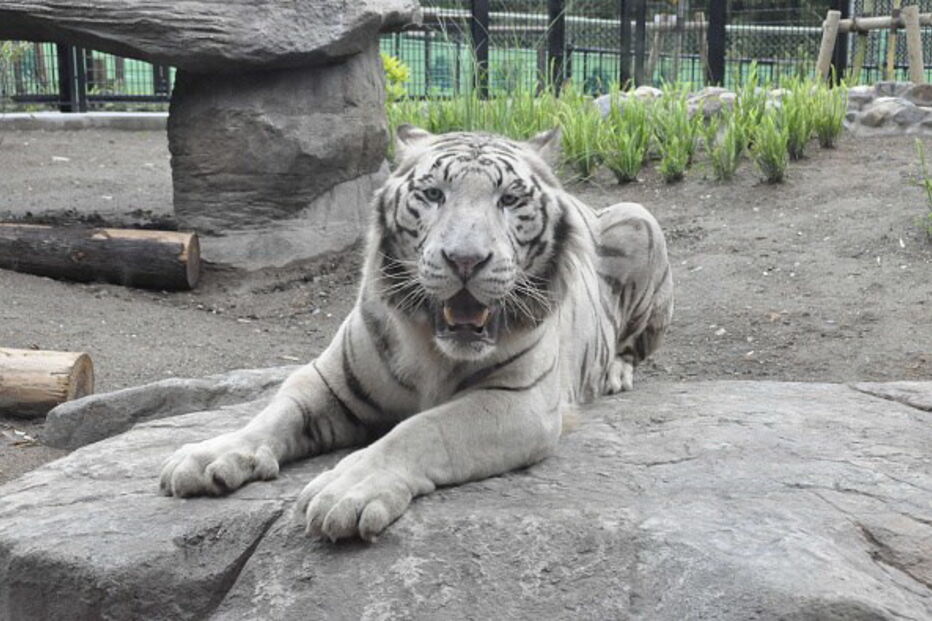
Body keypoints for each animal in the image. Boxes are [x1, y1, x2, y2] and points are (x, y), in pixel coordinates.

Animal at [159, 125, 674, 542]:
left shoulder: (520, 400)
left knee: (635, 348)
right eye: (433, 195)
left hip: (639, 217)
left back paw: (616, 373)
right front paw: (208, 457)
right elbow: (272, 416)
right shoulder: (328, 380)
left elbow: (421, 430)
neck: (434, 348)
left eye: (508, 200)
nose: (465, 260)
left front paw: (345, 491)